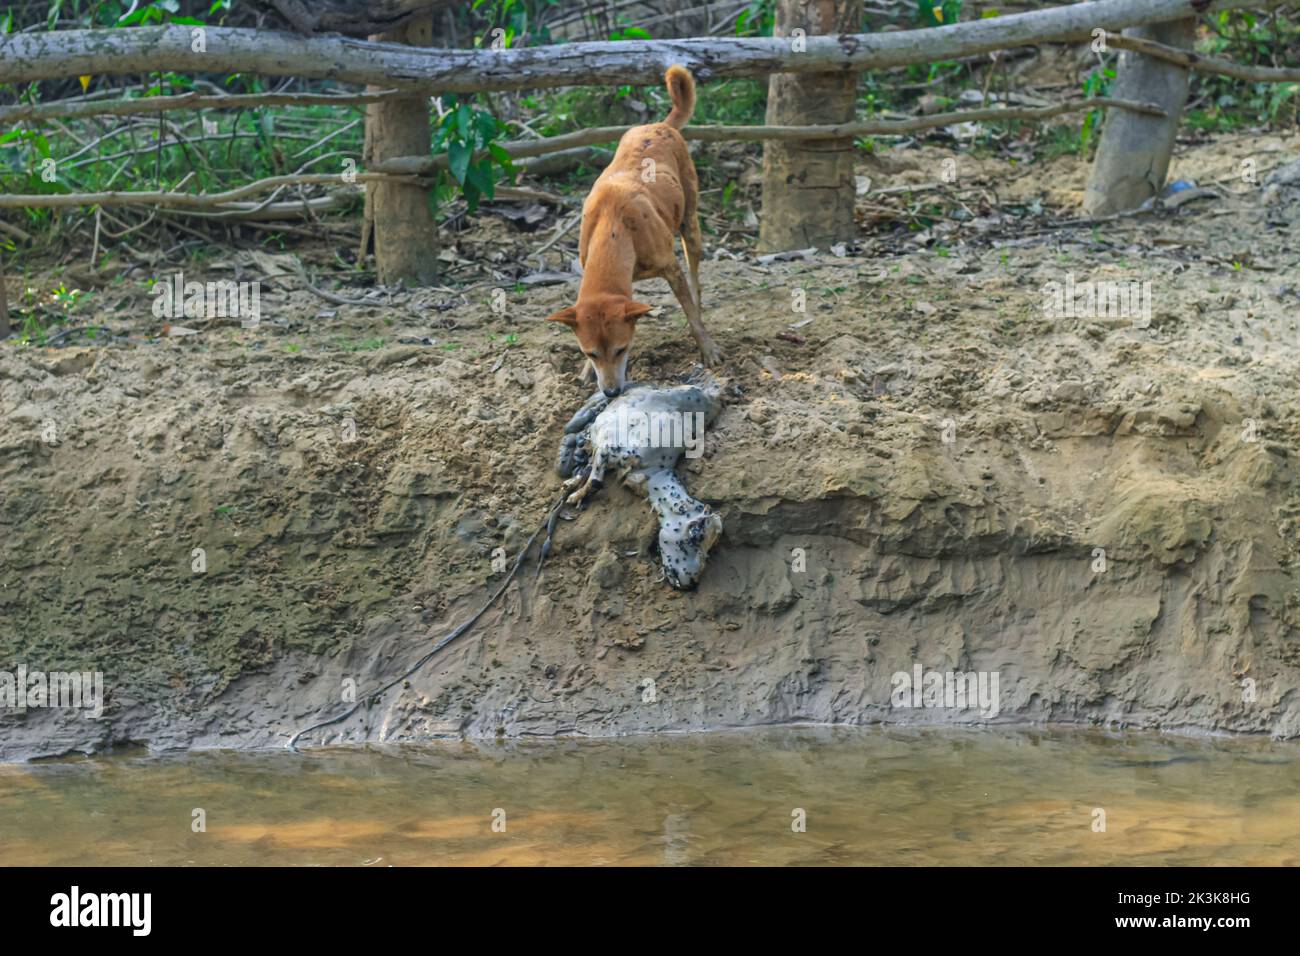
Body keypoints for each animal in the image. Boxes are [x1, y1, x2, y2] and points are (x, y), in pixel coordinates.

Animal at [540, 65, 717, 395]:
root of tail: (660, 124)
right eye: (590, 353)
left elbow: (690, 311)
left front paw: (707, 348)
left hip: (690, 224)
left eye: (622, 349)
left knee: (695, 280)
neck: (614, 227)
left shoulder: (670, 266)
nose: (611, 392)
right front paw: (586, 373)